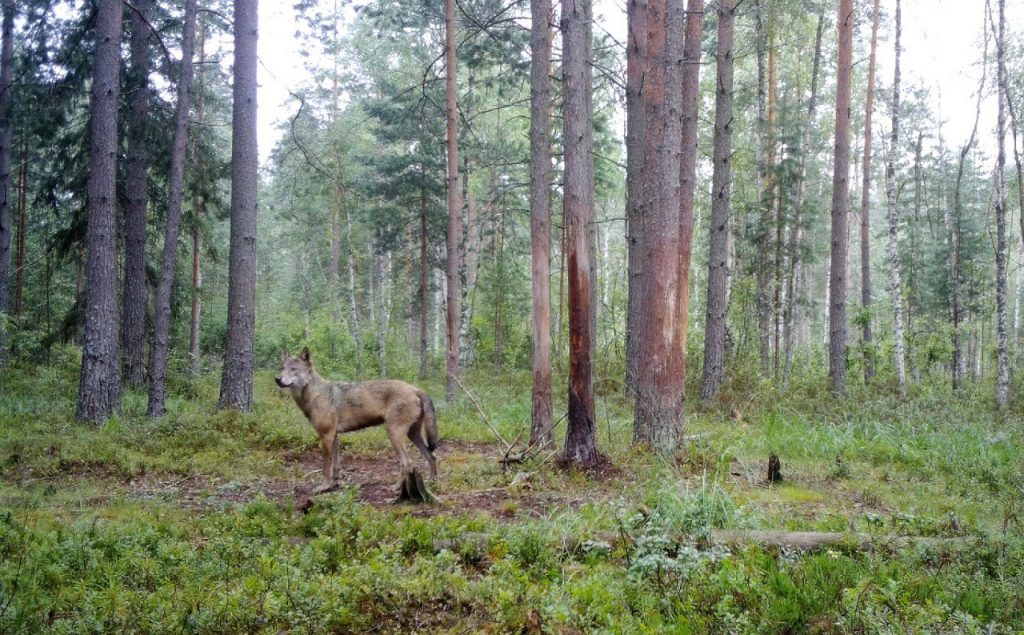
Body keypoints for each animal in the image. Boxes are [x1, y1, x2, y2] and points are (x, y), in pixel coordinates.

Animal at [276, 350, 440, 493]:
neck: (315, 394)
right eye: (282, 368)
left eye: (293, 369)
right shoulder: (334, 436)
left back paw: (396, 487)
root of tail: (416, 389)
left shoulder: (326, 436)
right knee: (431, 456)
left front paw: (324, 487)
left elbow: (326, 467)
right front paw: (334, 485)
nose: (277, 379)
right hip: (412, 435)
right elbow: (336, 466)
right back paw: (432, 484)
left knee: (408, 463)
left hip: (394, 434)